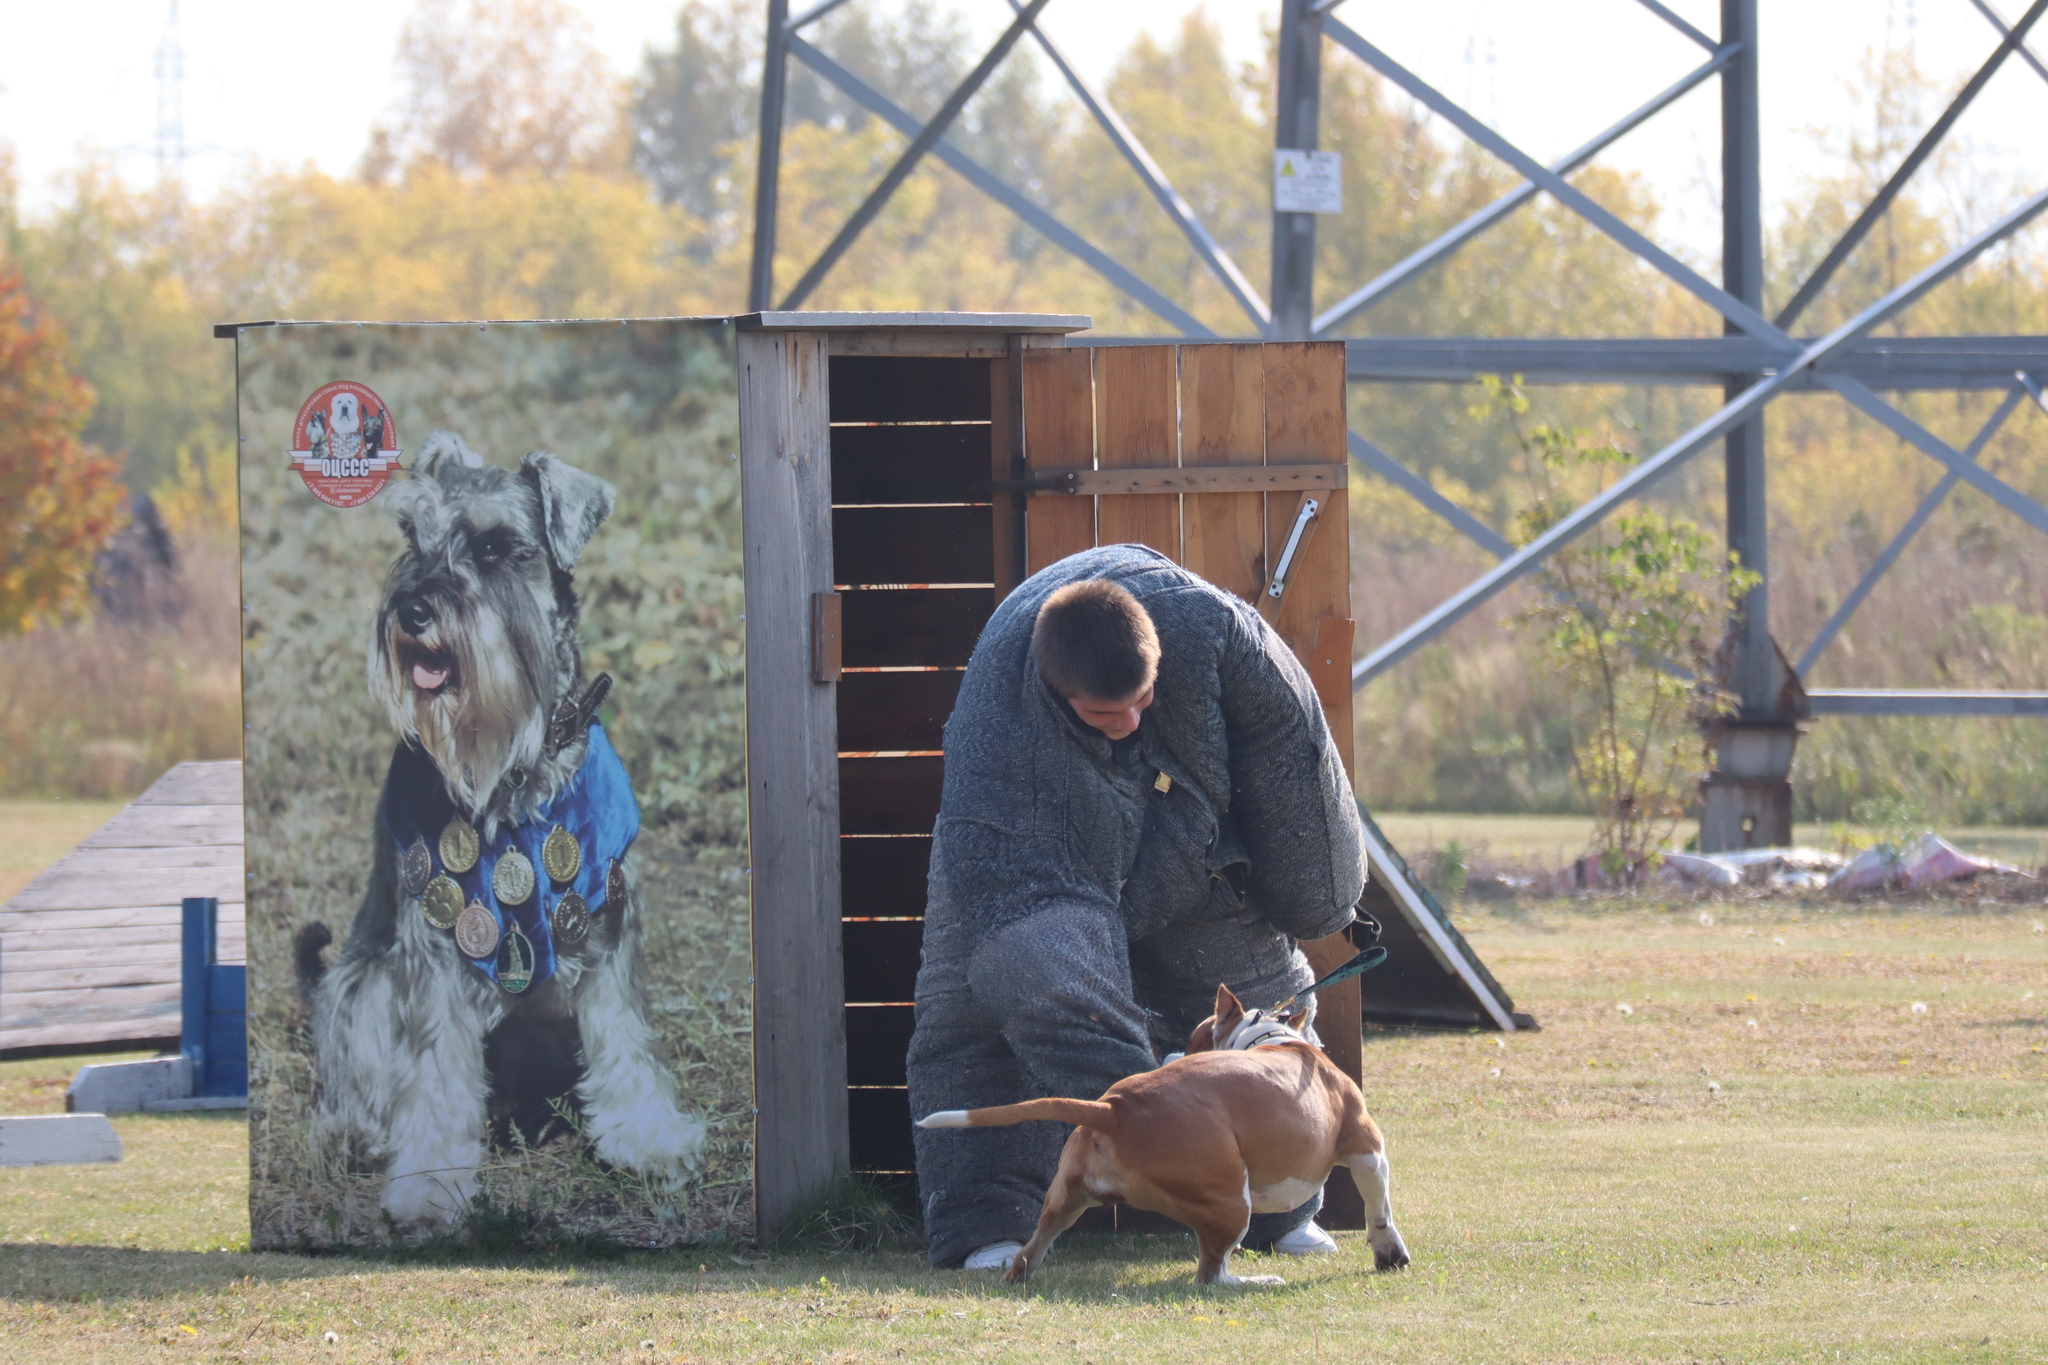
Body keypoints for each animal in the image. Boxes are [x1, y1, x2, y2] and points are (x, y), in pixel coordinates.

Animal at [292, 429, 712, 1227]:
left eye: (493, 547)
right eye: (412, 537)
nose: (411, 609)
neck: (516, 769)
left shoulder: (608, 921)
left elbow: (626, 1038)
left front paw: (648, 1138)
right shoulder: (432, 949)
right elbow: (433, 1070)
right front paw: (429, 1181)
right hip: (359, 987)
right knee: (356, 1073)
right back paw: (352, 1133)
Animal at [917, 986, 1409, 1285]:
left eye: (1190, 1043)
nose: (1172, 1053)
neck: (1270, 1039)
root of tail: (1113, 1108)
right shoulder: (1368, 1149)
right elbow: (1380, 1208)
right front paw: (1389, 1252)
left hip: (1063, 1203)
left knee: (1025, 1258)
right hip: (1230, 1203)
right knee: (1210, 1276)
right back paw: (1256, 1280)